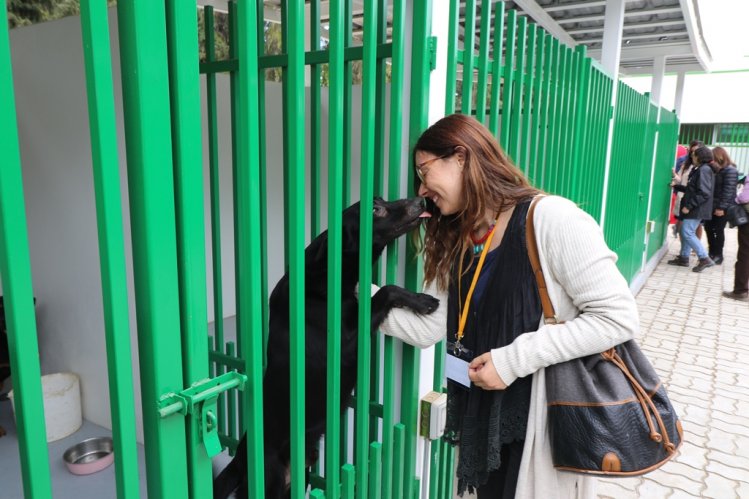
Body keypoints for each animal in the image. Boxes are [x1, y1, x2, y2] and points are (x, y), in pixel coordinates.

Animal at [212, 198, 438, 499]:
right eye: (375, 210)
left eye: (381, 201)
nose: (421, 200)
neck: (327, 273)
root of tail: (239, 459)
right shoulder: (345, 342)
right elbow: (386, 290)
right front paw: (423, 301)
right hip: (270, 483)